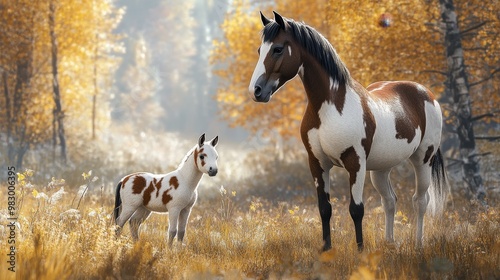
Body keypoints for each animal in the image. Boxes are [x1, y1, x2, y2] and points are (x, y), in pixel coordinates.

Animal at [250, 11, 450, 252]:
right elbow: (325, 208)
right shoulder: (317, 163)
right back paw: (389, 243)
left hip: (423, 160)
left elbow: (356, 209)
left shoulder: (355, 163)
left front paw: (360, 251)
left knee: (420, 201)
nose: (256, 91)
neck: (331, 107)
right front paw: (326, 249)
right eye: (260, 50)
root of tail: (426, 93)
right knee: (390, 201)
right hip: (381, 169)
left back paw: (419, 244)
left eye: (278, 49)